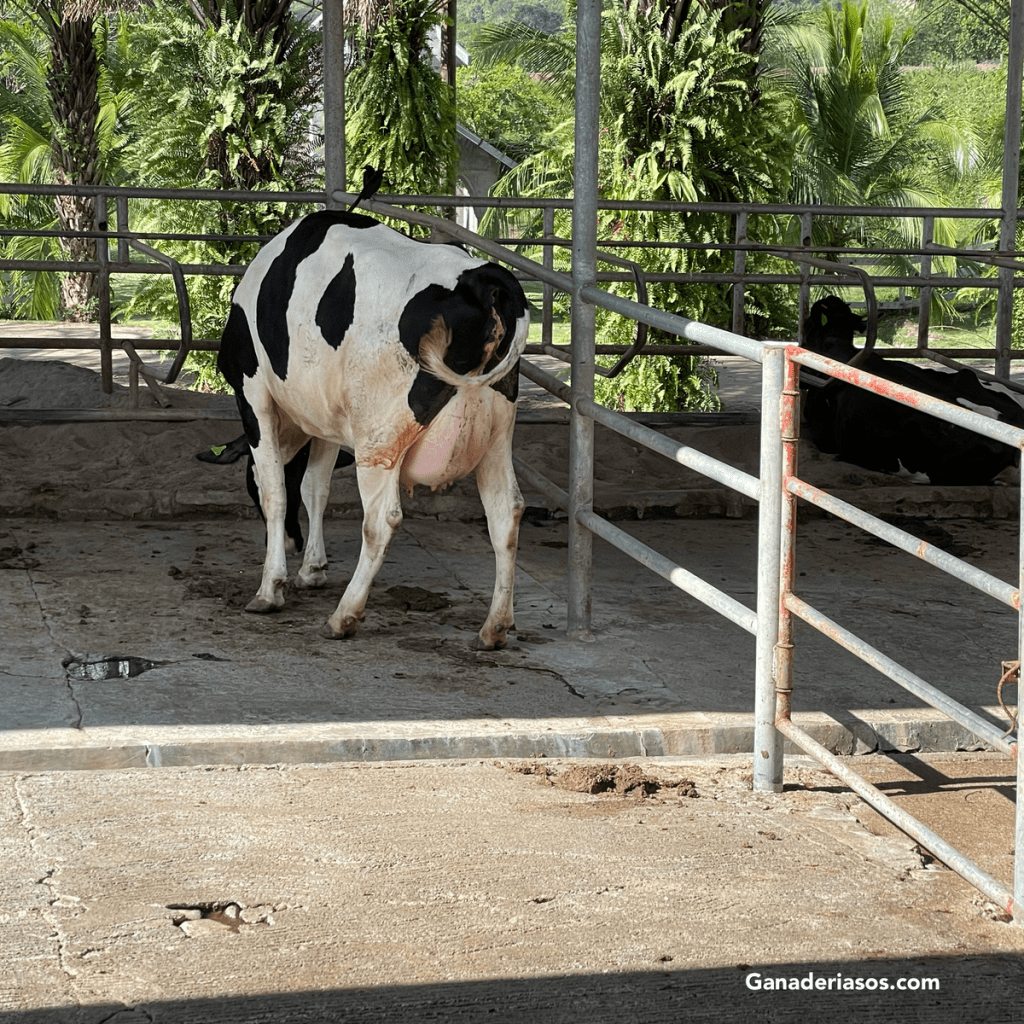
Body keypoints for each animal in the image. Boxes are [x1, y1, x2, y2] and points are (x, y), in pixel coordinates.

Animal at [217, 209, 530, 649]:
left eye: (246, 482)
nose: (294, 543)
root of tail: (481, 278)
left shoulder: (253, 393)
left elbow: (276, 491)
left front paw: (270, 588)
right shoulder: (327, 419)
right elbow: (315, 487)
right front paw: (312, 569)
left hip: (379, 438)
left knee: (382, 520)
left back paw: (343, 615)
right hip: (496, 438)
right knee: (506, 514)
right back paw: (494, 627)